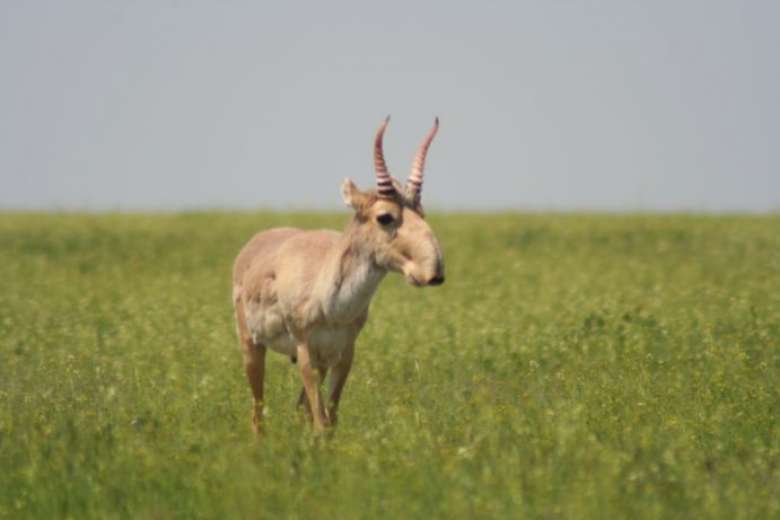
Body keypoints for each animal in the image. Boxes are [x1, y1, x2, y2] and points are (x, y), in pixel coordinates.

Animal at [232, 119, 444, 434]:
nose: (434, 272)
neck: (332, 306)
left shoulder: (342, 355)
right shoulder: (306, 353)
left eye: (422, 212)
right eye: (385, 217)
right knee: (257, 411)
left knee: (299, 410)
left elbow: (329, 420)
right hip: (251, 345)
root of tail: (254, 244)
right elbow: (321, 422)